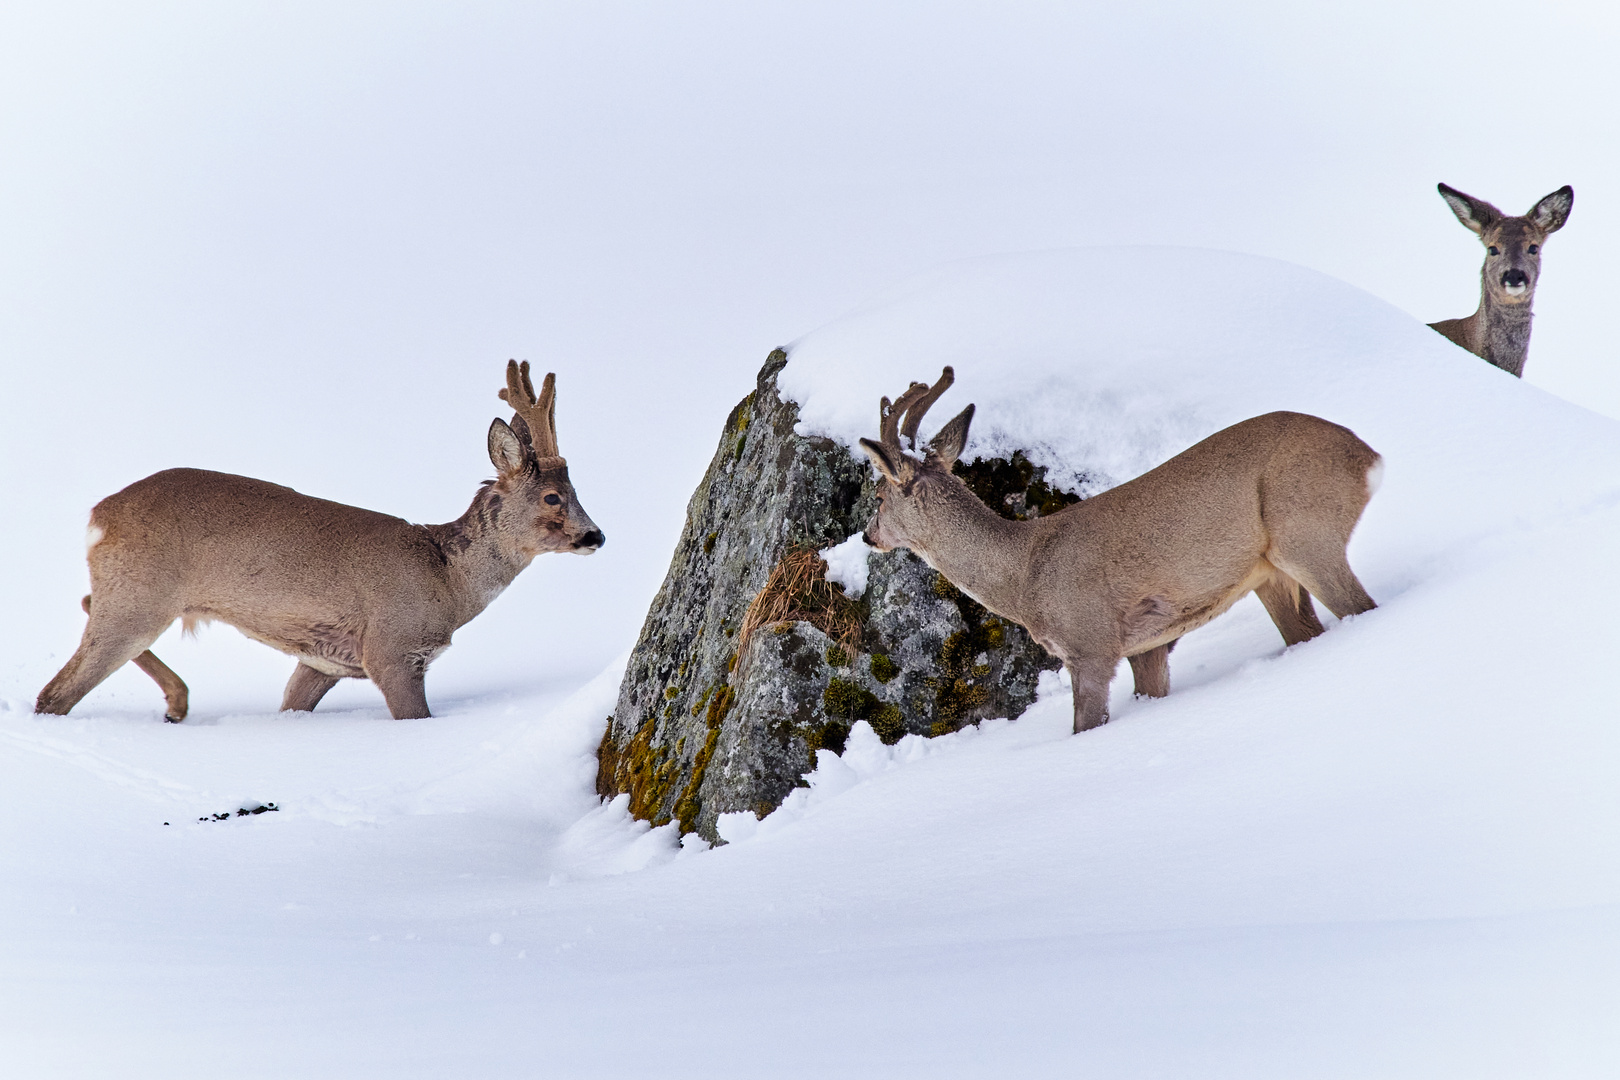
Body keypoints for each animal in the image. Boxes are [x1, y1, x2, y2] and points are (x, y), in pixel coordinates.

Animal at [34, 359, 605, 722]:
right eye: (554, 497)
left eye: (574, 490)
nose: (596, 534)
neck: (447, 579)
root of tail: (99, 514)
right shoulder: (392, 646)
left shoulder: (323, 660)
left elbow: (290, 704)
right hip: (143, 594)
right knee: (54, 693)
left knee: (84, 607)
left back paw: (178, 704)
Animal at [861, 369, 1380, 735]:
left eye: (878, 496)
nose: (868, 536)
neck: (1023, 575)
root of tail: (1369, 456)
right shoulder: (1148, 644)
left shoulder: (1090, 644)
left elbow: (1082, 728)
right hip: (1272, 574)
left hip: (1304, 531)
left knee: (1361, 606)